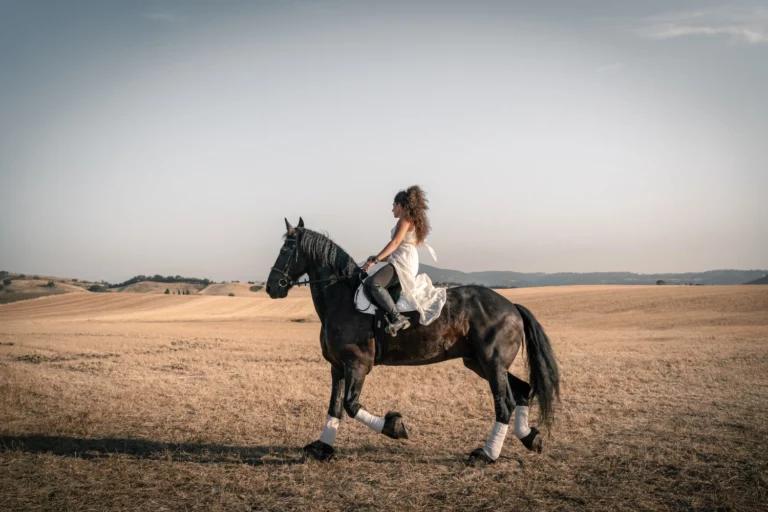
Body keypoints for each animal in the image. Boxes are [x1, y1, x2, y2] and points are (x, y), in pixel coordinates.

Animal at [266, 218, 560, 466]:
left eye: (285, 249)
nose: (271, 287)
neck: (341, 299)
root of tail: (511, 306)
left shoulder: (357, 364)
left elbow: (350, 405)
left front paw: (394, 426)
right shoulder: (338, 366)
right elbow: (334, 406)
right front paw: (322, 448)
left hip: (492, 362)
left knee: (504, 404)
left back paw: (486, 454)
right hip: (478, 362)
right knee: (522, 391)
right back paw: (530, 438)